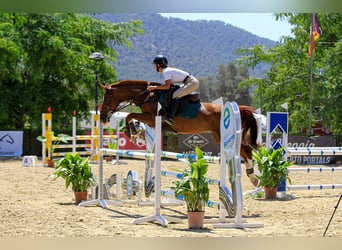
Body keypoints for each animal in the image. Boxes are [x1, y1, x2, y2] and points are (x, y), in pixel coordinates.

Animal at [100, 80, 258, 186]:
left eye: (107, 98)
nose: (102, 117)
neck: (147, 95)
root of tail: (237, 109)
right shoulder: (151, 121)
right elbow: (132, 118)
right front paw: (136, 134)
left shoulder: (152, 118)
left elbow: (129, 115)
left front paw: (131, 134)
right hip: (218, 137)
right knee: (245, 151)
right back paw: (252, 176)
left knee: (246, 150)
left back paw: (253, 178)